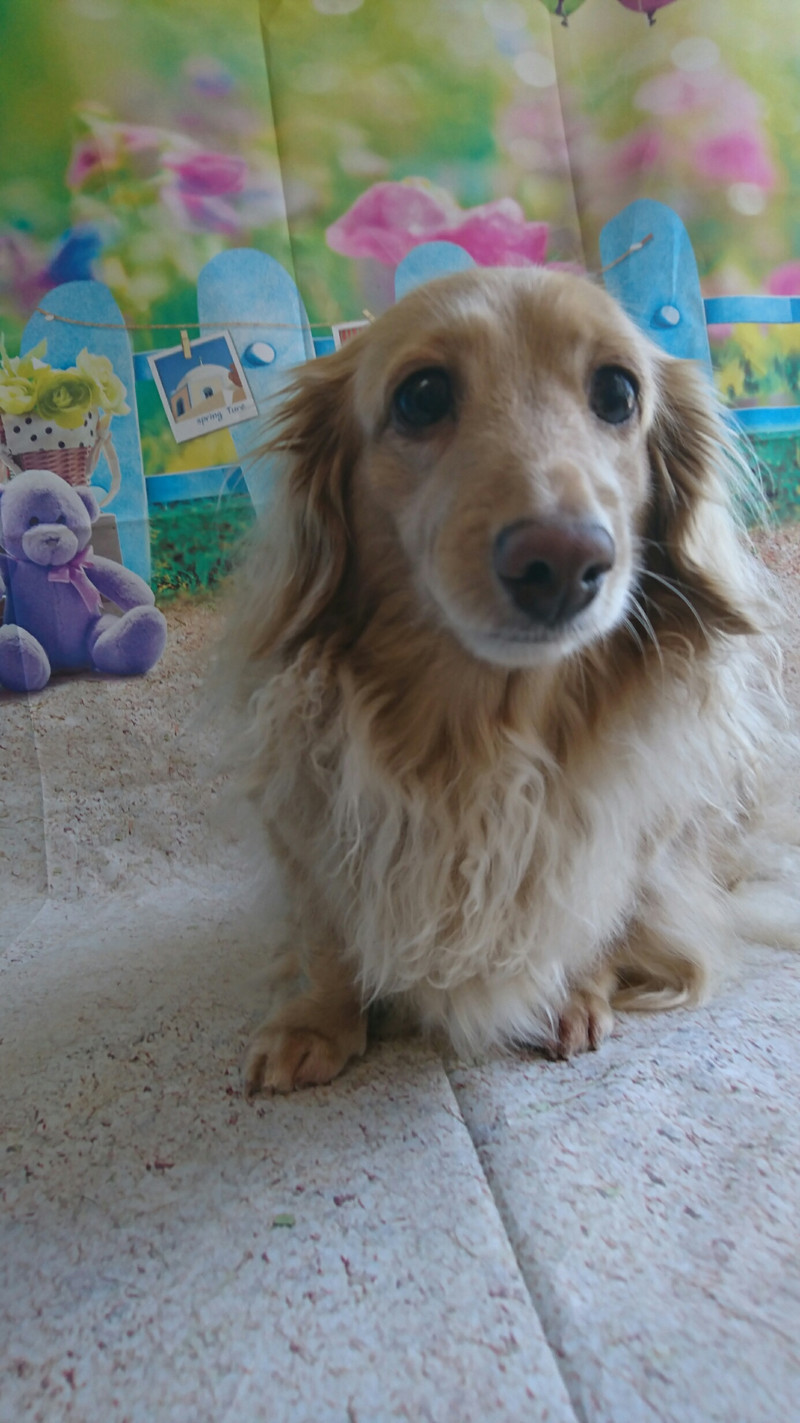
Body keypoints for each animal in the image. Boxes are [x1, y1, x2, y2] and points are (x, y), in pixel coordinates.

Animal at [218, 266, 799, 1095]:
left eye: (617, 392)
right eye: (422, 395)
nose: (562, 562)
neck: (487, 738)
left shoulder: (633, 842)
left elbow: (602, 918)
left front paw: (574, 992)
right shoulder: (305, 822)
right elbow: (328, 933)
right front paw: (317, 1020)